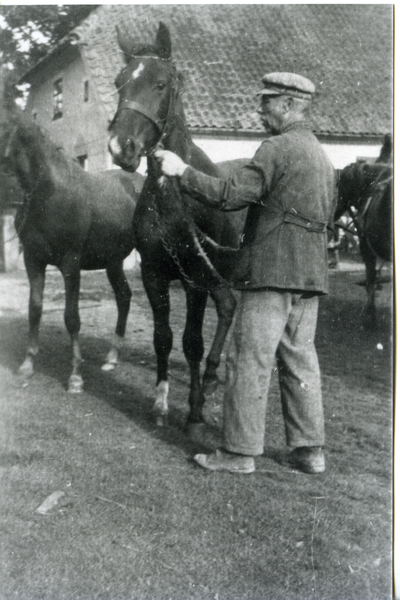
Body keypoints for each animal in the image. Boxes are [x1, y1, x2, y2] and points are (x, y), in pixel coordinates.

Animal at [0, 72, 144, 394]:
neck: (47, 192)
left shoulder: (70, 262)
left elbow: (72, 317)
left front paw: (76, 375)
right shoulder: (33, 259)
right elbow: (34, 308)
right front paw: (28, 364)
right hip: (114, 261)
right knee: (124, 296)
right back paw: (111, 358)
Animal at [108, 22, 247, 432]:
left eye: (160, 84)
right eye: (120, 82)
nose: (121, 147)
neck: (172, 193)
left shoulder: (194, 280)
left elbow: (191, 342)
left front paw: (195, 410)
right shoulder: (154, 274)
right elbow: (163, 338)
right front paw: (160, 402)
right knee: (228, 307)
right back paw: (214, 376)